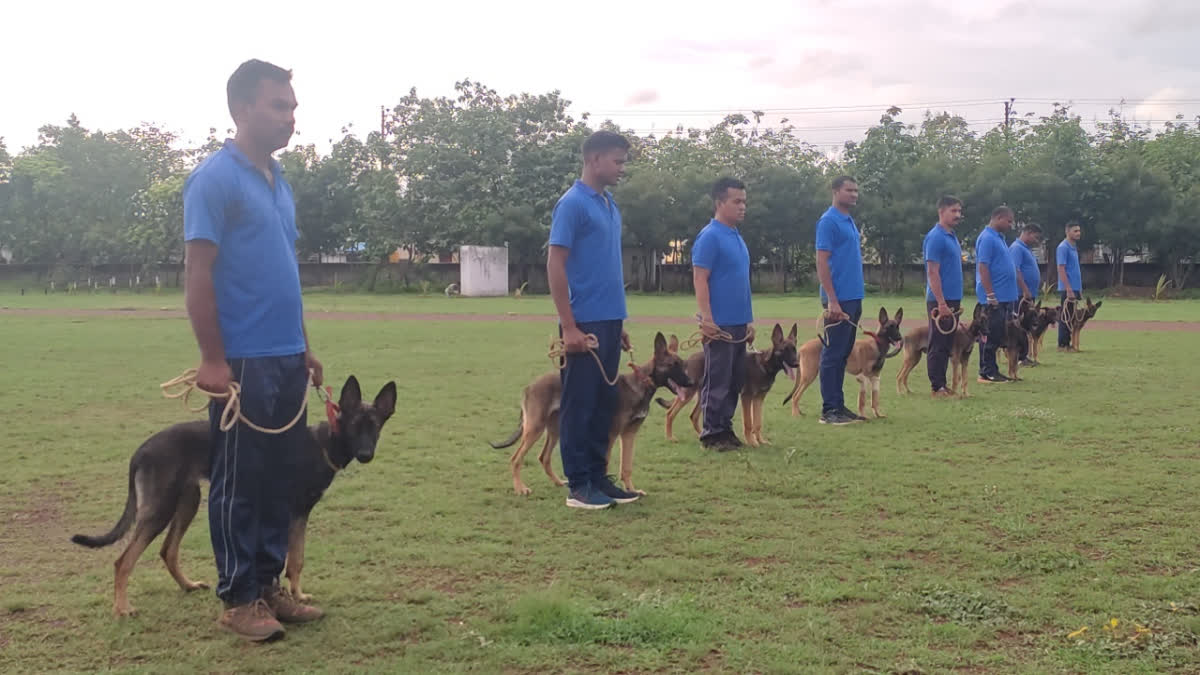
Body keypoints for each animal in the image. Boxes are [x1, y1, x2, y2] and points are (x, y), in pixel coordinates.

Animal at [69, 372, 398, 614]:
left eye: (375, 427)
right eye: (354, 426)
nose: (366, 455)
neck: (323, 444)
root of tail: (141, 450)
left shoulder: (295, 515)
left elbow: (295, 560)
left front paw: (296, 595)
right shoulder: (293, 514)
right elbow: (294, 561)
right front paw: (293, 597)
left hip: (188, 502)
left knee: (168, 551)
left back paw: (187, 585)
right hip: (160, 510)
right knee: (123, 561)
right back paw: (123, 608)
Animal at [489, 331, 696, 494]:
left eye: (682, 364)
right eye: (673, 364)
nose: (691, 382)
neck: (641, 383)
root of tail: (529, 386)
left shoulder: (629, 434)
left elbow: (626, 466)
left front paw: (632, 490)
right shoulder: (611, 435)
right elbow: (605, 464)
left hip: (555, 430)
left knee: (544, 458)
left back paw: (558, 482)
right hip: (535, 429)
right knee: (515, 459)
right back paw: (520, 488)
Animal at [657, 321, 796, 446]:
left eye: (794, 350)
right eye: (784, 350)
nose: (796, 364)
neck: (764, 365)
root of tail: (687, 360)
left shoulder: (758, 399)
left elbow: (757, 423)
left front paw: (760, 441)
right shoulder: (747, 397)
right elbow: (748, 423)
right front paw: (752, 442)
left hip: (703, 394)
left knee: (693, 416)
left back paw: (702, 436)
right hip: (687, 394)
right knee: (670, 413)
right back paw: (670, 437)